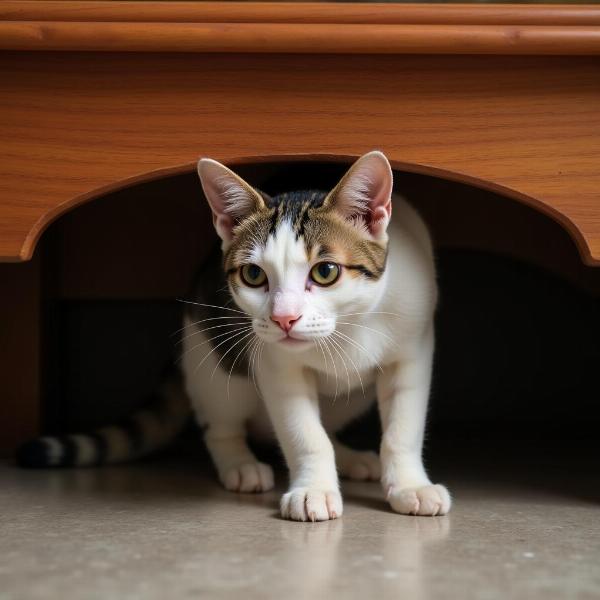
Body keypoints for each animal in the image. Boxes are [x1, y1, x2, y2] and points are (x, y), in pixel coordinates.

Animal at [17, 151, 450, 520]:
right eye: (254, 275)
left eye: (325, 271)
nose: (284, 318)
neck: (346, 329)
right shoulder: (276, 364)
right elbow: (304, 432)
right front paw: (313, 488)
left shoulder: (412, 348)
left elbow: (403, 428)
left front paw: (409, 485)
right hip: (211, 357)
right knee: (221, 423)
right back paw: (240, 464)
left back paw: (349, 457)